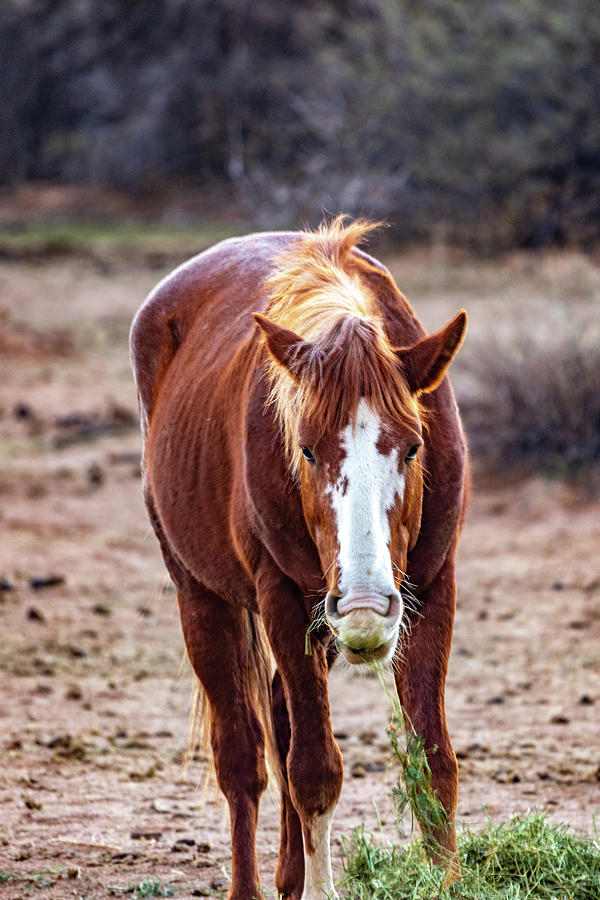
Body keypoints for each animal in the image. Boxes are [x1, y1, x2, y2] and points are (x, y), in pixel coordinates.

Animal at [130, 220, 468, 900]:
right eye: (306, 451)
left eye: (413, 447)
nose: (364, 607)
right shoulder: (283, 599)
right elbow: (314, 772)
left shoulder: (432, 589)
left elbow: (433, 762)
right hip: (205, 598)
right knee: (243, 757)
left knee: (283, 725)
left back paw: (289, 875)